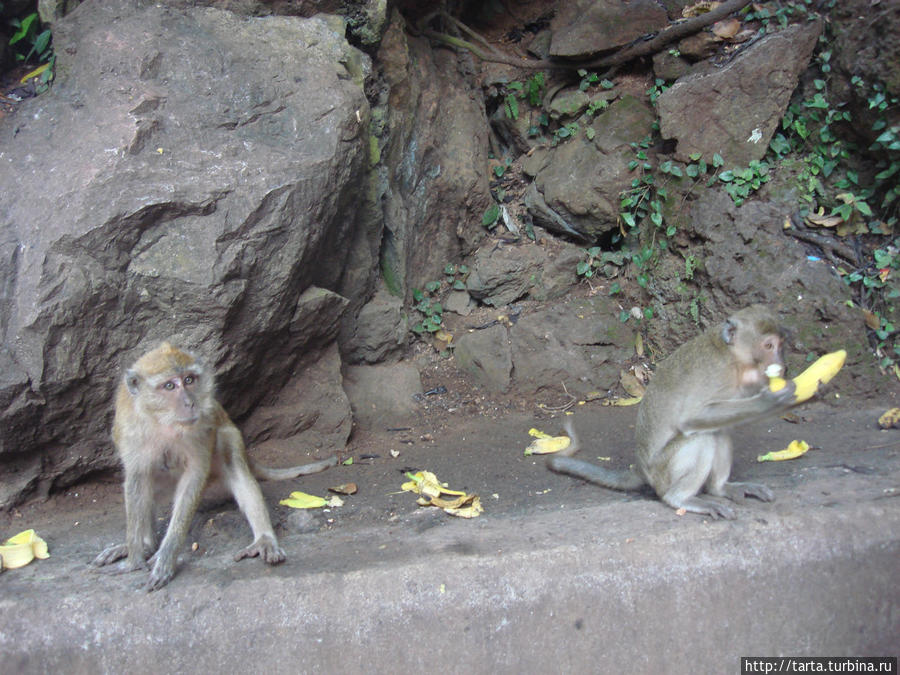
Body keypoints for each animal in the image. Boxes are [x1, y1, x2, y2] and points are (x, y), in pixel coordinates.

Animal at [91, 344, 338, 592]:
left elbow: (194, 478)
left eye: (189, 379)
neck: (164, 422)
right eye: (169, 385)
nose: (190, 403)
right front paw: (134, 559)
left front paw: (166, 558)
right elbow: (137, 480)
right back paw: (146, 545)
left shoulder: (201, 428)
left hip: (228, 435)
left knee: (229, 453)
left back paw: (263, 539)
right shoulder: (131, 432)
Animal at [548, 306, 796, 524]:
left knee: (718, 431)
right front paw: (771, 400)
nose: (780, 364)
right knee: (702, 437)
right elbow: (691, 417)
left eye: (780, 345)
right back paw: (680, 499)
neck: (734, 357)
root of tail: (642, 469)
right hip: (663, 471)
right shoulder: (718, 376)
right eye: (768, 345)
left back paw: (719, 489)